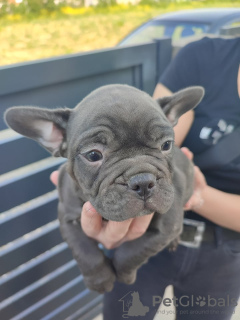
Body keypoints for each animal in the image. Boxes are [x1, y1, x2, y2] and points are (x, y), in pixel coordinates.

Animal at [4, 84, 203, 292]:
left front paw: (123, 275)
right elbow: (85, 252)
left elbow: (132, 251)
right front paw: (100, 280)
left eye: (166, 145)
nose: (142, 181)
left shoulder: (168, 226)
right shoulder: (68, 218)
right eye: (93, 155)